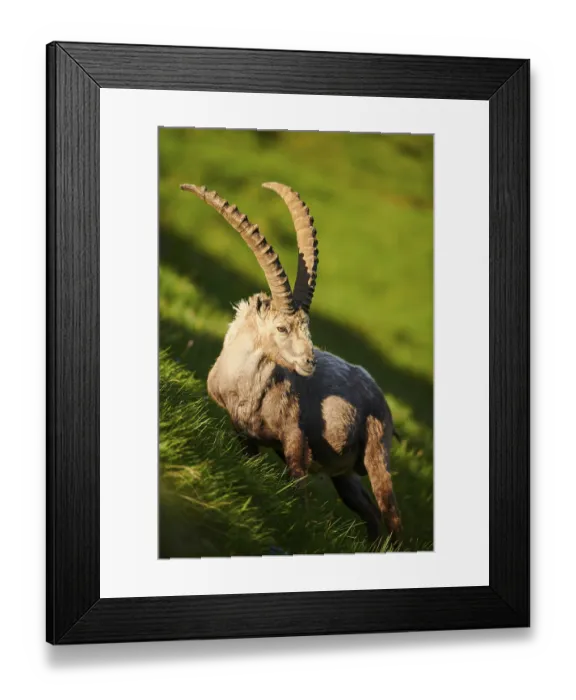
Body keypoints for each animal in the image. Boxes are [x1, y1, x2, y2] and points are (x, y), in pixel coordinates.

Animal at [180, 182, 402, 543]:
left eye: (307, 326)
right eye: (282, 328)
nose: (310, 362)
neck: (246, 389)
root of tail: (380, 396)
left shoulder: (294, 437)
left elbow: (299, 488)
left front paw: (304, 527)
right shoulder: (243, 434)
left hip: (376, 452)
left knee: (390, 513)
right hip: (344, 475)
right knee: (368, 510)